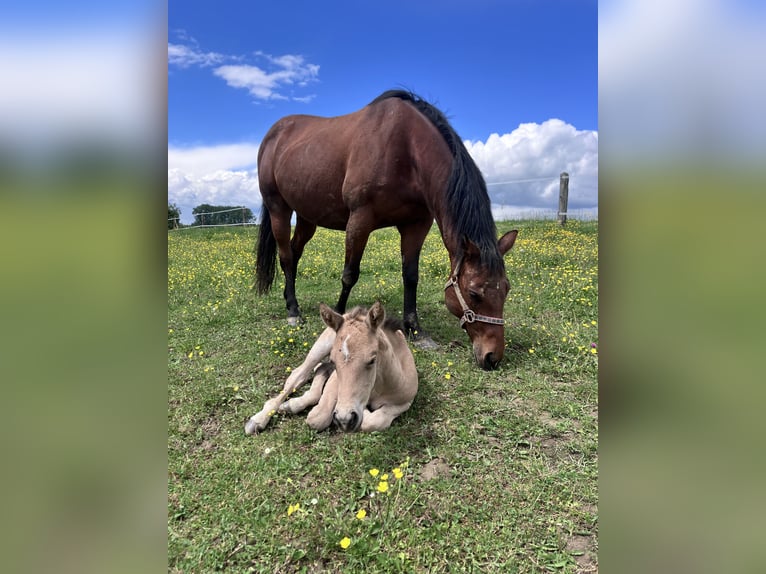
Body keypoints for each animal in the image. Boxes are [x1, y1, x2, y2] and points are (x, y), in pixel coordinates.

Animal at [244, 302, 418, 434]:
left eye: (372, 360)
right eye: (335, 361)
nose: (345, 420)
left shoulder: (406, 400)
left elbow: (374, 421)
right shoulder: (335, 381)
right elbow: (317, 417)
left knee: (320, 368)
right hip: (322, 345)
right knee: (299, 374)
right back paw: (261, 418)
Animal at [255, 89, 518, 370]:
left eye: (506, 288)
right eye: (473, 293)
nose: (492, 356)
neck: (406, 148)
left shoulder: (417, 224)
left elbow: (411, 276)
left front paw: (416, 330)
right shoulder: (360, 219)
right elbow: (349, 274)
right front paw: (338, 319)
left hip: (307, 218)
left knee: (294, 255)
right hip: (278, 209)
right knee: (285, 256)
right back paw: (293, 311)